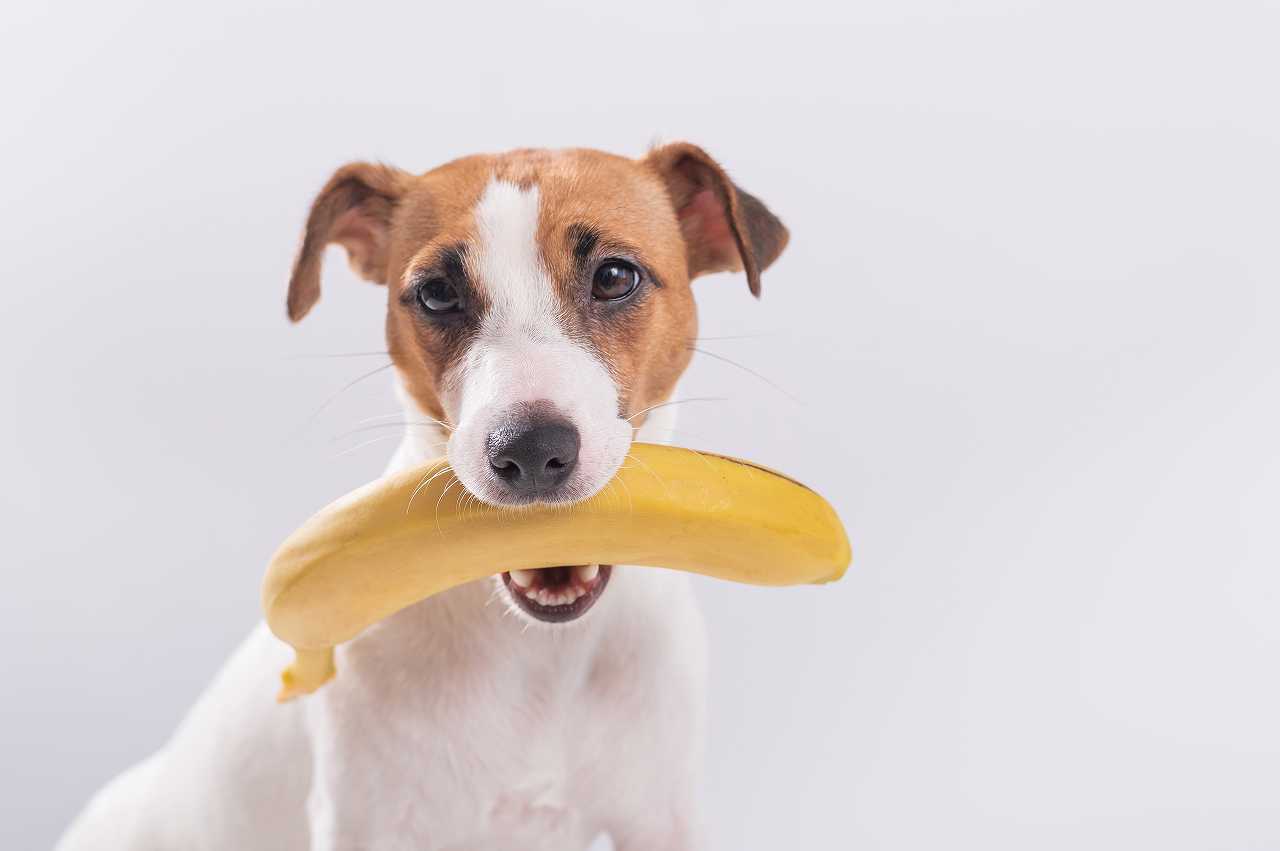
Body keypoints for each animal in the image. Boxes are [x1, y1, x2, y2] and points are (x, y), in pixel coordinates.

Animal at [60, 142, 788, 844]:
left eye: (615, 276)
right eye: (437, 293)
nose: (530, 449)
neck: (537, 658)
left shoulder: (662, 818)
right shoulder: (366, 822)